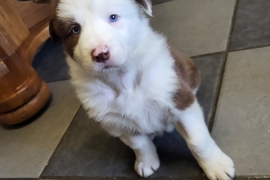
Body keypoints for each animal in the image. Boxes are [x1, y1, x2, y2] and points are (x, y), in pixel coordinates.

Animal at [22, 0, 235, 179]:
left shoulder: (179, 99)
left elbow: (198, 140)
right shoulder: (115, 122)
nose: (100, 54)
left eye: (113, 17)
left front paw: (216, 166)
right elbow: (139, 144)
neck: (123, 80)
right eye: (75, 30)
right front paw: (146, 162)